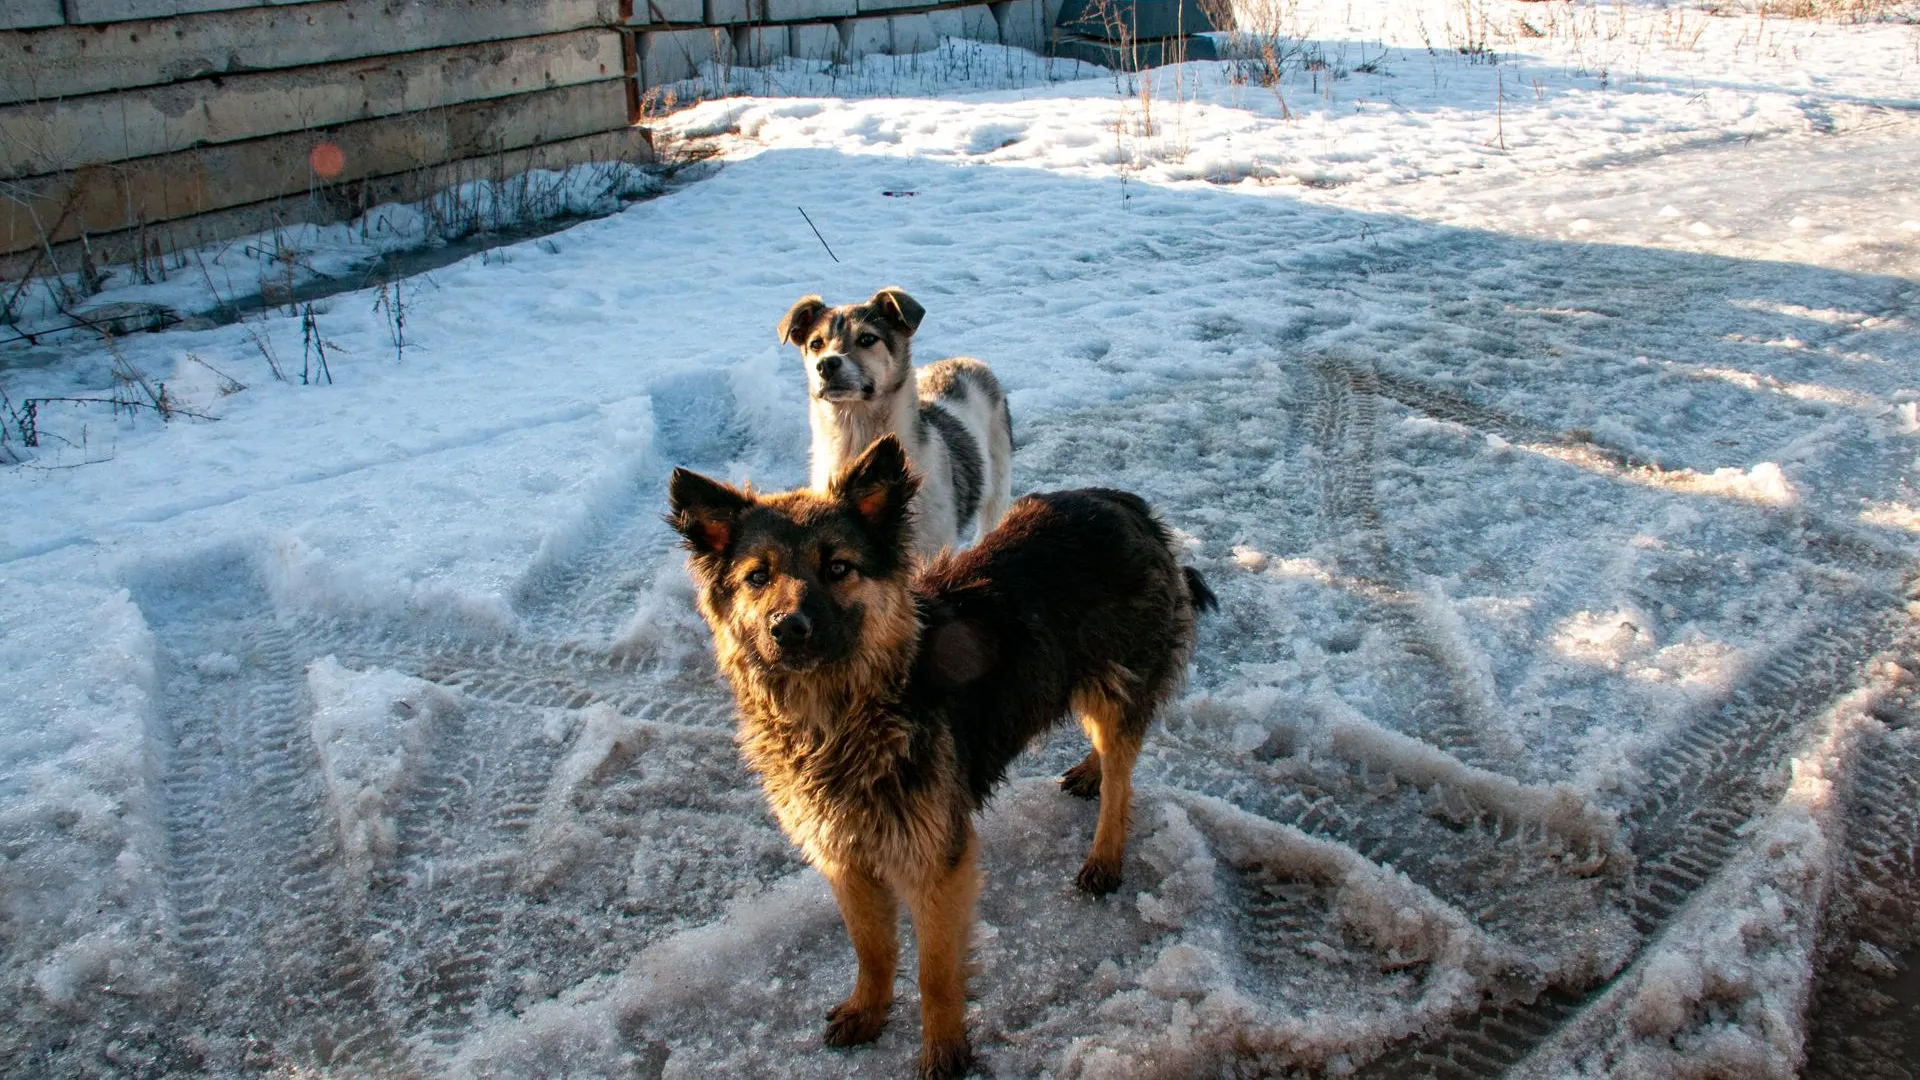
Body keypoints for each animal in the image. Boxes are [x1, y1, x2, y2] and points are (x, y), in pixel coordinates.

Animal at [668, 432, 1205, 1068]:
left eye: (838, 568)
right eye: (758, 577)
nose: (789, 627)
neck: (842, 713)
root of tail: (1124, 502)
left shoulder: (935, 860)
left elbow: (936, 973)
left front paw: (946, 1051)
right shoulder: (844, 853)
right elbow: (872, 950)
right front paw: (868, 1011)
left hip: (1117, 683)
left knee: (1122, 780)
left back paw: (1104, 854)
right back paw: (1089, 770)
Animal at [779, 286, 1021, 553]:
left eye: (867, 339)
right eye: (816, 343)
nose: (826, 365)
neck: (856, 433)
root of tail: (969, 361)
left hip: (998, 480)